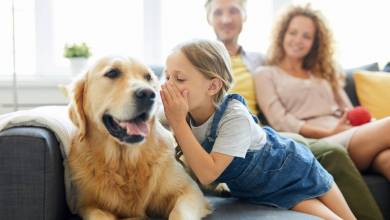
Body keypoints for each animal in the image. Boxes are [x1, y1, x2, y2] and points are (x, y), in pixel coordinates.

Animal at [68, 55, 212, 219]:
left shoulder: (189, 190)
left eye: (148, 77)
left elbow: (179, 212)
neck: (125, 162)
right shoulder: (88, 205)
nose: (148, 94)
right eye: (112, 73)